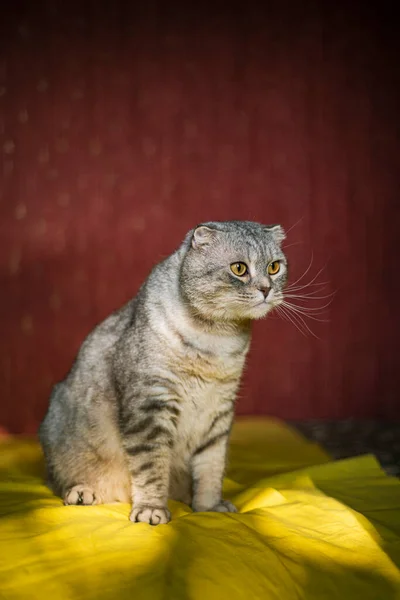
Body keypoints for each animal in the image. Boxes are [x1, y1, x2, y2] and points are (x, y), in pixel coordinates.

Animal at [38, 221, 288, 524]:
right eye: (239, 268)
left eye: (274, 267)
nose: (266, 289)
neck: (216, 339)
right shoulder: (151, 403)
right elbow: (151, 466)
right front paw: (151, 509)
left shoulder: (219, 411)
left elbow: (211, 466)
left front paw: (209, 507)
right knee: (61, 479)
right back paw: (83, 492)